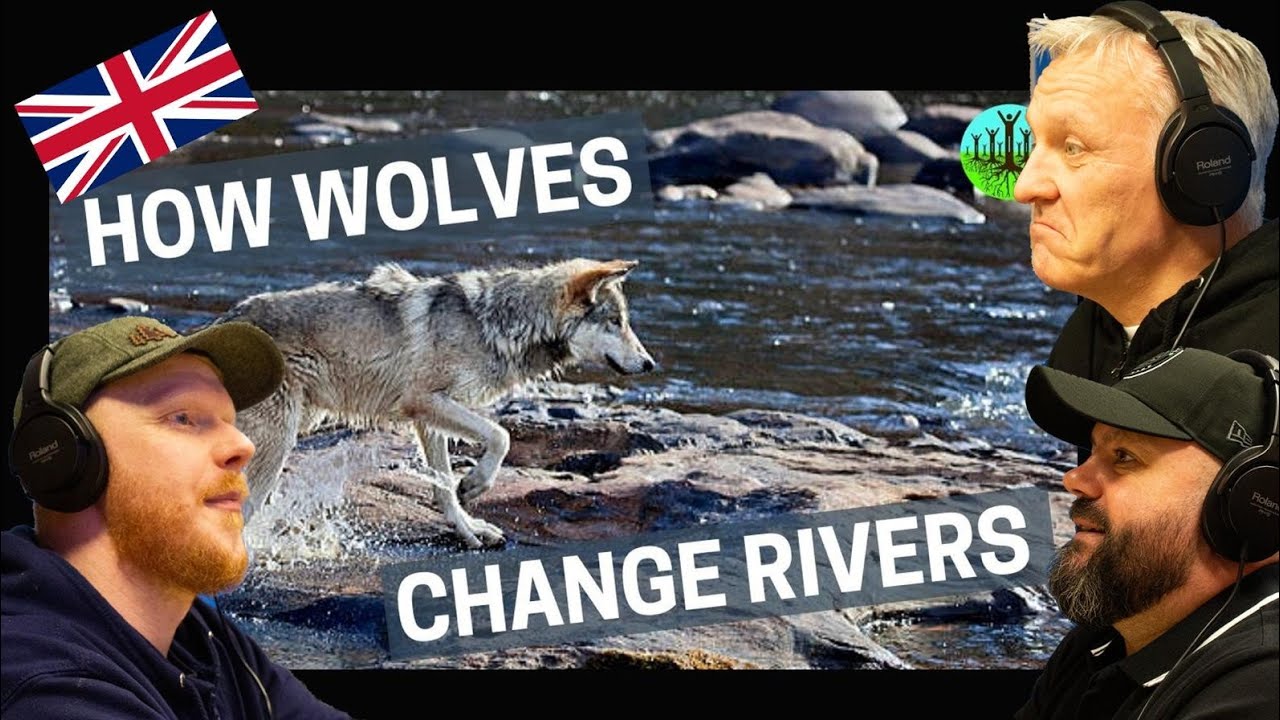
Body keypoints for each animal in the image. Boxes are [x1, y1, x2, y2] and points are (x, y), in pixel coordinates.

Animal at [221, 258, 657, 547]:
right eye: (615, 322)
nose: (650, 364)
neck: (496, 325)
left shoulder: (428, 418)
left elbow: (444, 488)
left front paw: (468, 528)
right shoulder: (426, 401)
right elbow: (500, 436)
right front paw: (475, 485)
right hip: (276, 443)